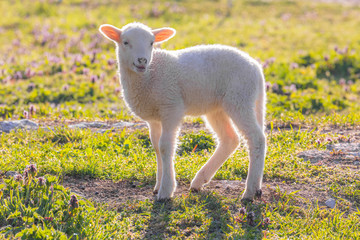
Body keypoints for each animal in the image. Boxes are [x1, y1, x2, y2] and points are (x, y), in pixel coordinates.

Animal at [100, 22, 266, 201]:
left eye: (151, 43)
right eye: (125, 42)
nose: (142, 60)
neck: (149, 75)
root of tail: (256, 68)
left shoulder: (171, 108)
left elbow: (165, 146)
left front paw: (166, 190)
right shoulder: (154, 118)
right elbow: (156, 146)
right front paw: (158, 186)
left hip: (239, 98)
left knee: (257, 138)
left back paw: (249, 191)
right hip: (218, 107)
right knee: (230, 139)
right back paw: (200, 181)